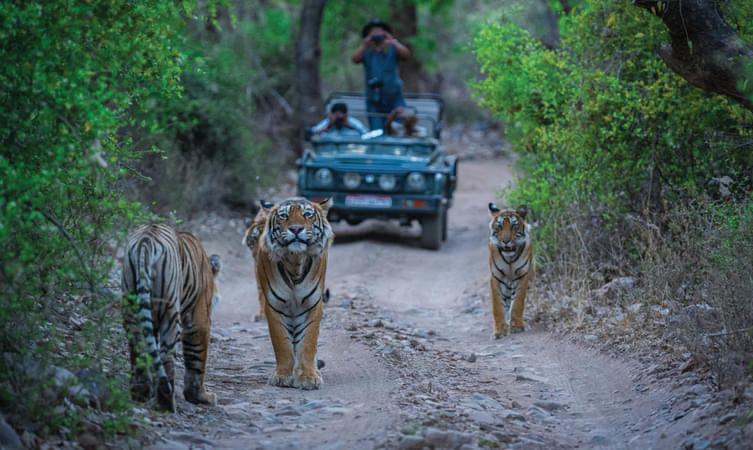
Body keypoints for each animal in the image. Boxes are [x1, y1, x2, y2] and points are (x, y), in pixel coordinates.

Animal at [121, 224, 221, 411]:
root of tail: (146, 241)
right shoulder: (199, 319)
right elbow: (196, 359)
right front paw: (201, 397)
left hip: (131, 306)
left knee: (139, 349)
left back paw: (141, 393)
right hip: (170, 312)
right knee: (166, 356)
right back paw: (166, 403)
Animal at [255, 197, 333, 390]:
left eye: (307, 215)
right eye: (284, 216)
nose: (296, 229)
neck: (295, 262)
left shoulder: (313, 305)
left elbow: (308, 342)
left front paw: (308, 377)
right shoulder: (274, 306)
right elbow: (282, 343)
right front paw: (282, 376)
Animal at [488, 203, 533, 339]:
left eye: (514, 226)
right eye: (499, 226)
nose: (506, 241)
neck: (510, 259)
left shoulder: (522, 276)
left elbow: (518, 302)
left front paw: (517, 326)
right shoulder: (496, 277)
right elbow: (497, 306)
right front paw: (499, 331)